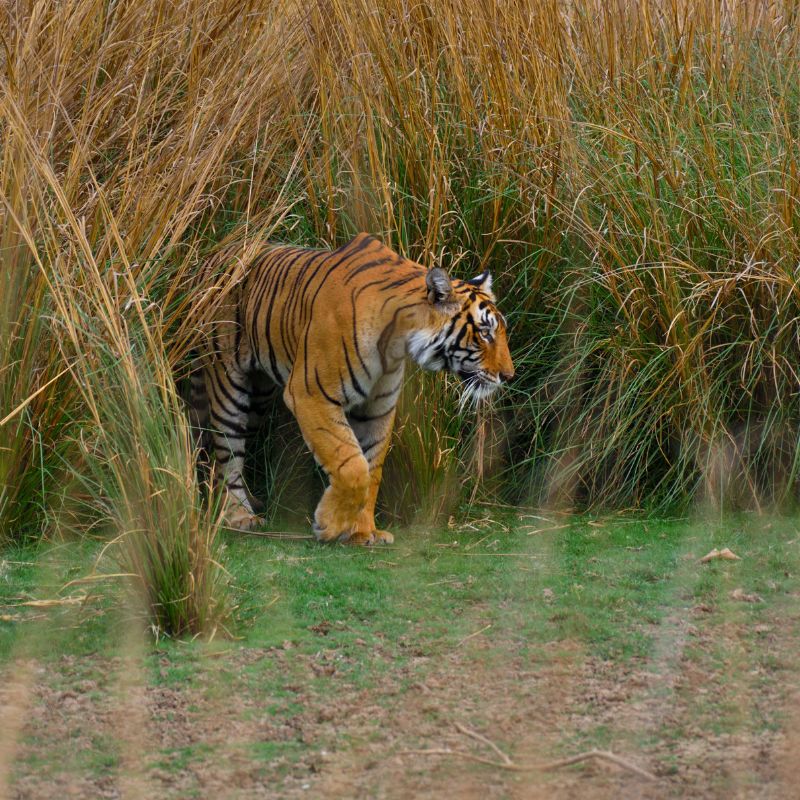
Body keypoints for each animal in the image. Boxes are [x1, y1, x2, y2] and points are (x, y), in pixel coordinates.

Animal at [190, 232, 514, 544]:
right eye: (485, 333)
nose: (508, 376)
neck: (396, 342)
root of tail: (214, 253)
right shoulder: (310, 394)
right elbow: (351, 465)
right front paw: (329, 524)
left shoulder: (378, 407)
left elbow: (372, 469)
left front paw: (364, 532)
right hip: (228, 385)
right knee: (227, 455)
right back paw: (238, 515)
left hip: (258, 396)